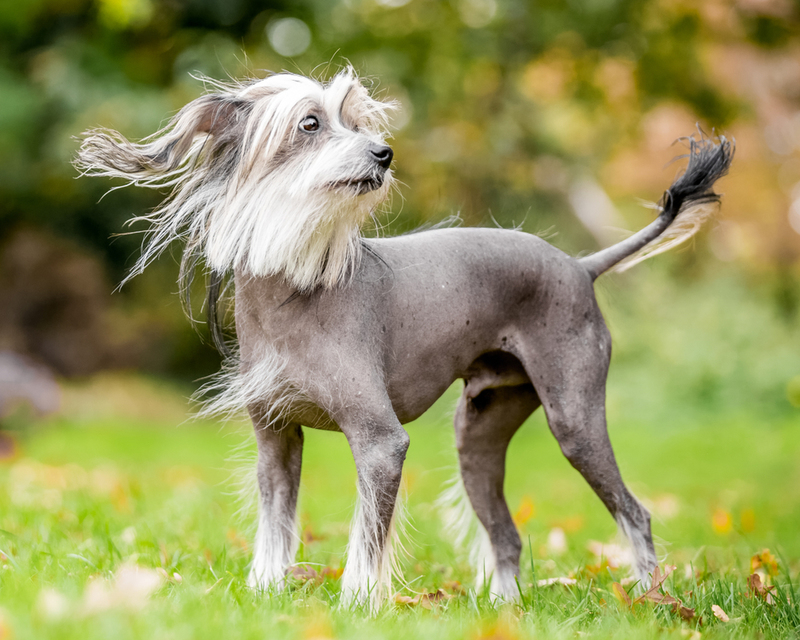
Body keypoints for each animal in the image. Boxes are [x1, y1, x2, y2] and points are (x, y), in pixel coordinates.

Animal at [78, 66, 736, 608]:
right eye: (311, 123)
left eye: (358, 120)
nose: (384, 152)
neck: (296, 289)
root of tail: (579, 265)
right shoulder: (276, 441)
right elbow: (276, 525)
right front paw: (265, 593)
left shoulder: (380, 444)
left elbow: (365, 539)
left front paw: (356, 604)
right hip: (477, 435)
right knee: (506, 535)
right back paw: (502, 611)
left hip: (573, 421)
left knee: (635, 514)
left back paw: (650, 599)